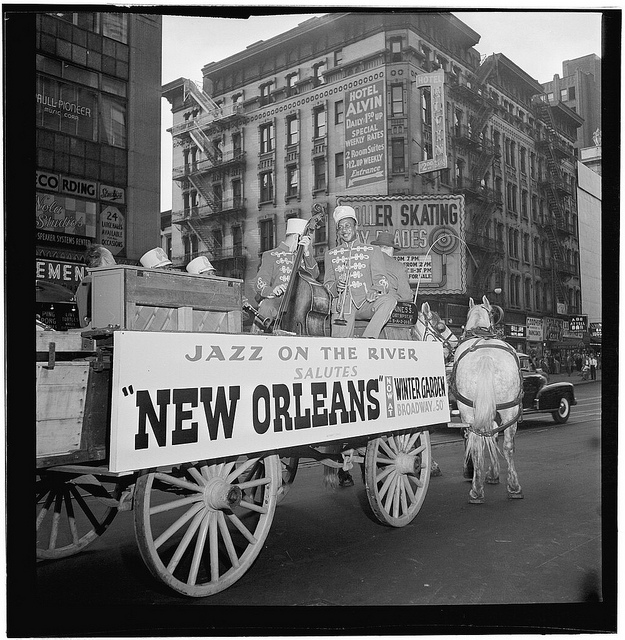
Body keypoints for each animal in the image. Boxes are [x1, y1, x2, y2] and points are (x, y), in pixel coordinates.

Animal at [448, 296, 520, 504]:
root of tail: (486, 357)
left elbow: (488, 438)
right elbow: (493, 437)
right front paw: (493, 473)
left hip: (468, 411)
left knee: (477, 442)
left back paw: (477, 489)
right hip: (510, 409)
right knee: (507, 445)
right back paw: (513, 487)